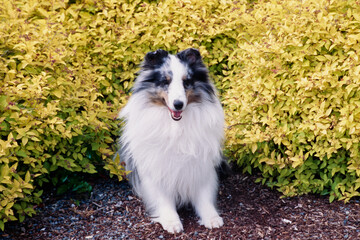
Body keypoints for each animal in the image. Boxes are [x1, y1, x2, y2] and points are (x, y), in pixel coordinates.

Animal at [118, 47, 225, 233]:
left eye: (186, 82)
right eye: (165, 82)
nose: (178, 104)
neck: (176, 125)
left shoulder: (200, 164)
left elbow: (203, 194)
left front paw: (211, 218)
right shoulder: (158, 165)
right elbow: (163, 197)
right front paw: (171, 221)